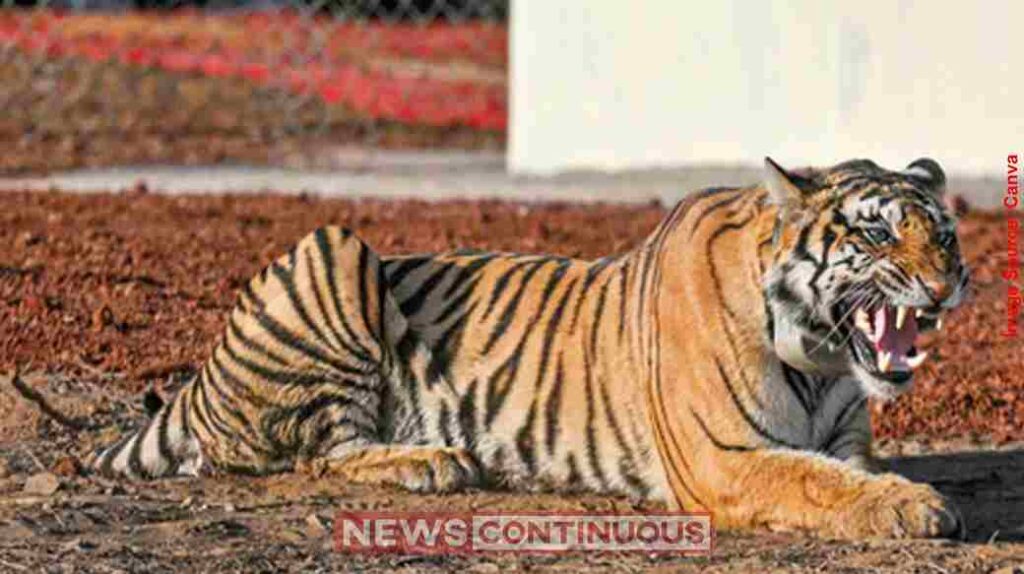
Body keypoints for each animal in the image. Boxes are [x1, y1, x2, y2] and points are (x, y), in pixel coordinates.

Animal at [91, 157, 968, 540]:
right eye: (877, 233)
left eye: (945, 233)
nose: (948, 282)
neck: (822, 359)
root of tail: (201, 379)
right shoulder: (722, 454)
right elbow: (811, 480)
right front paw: (916, 506)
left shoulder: (842, 438)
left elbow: (837, 471)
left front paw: (901, 495)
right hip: (333, 247)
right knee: (314, 453)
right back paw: (432, 460)